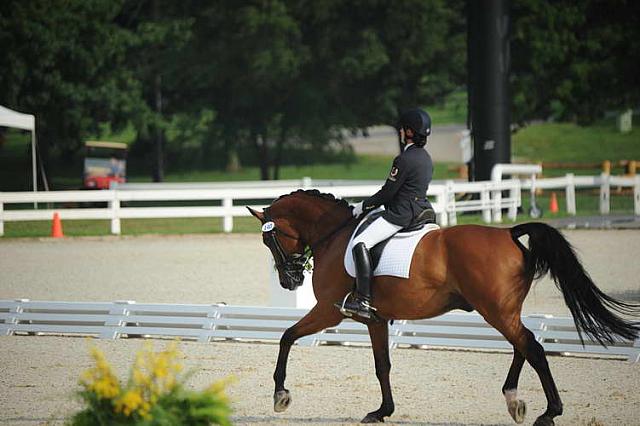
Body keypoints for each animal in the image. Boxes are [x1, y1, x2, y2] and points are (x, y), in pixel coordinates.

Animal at [248, 190, 636, 426]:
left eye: (269, 238)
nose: (290, 281)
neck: (335, 234)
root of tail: (508, 232)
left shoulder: (329, 310)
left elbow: (286, 337)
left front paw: (280, 395)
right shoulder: (375, 319)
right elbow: (382, 365)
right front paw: (383, 411)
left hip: (495, 311)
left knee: (533, 348)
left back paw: (548, 412)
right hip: (503, 310)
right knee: (524, 346)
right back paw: (514, 400)